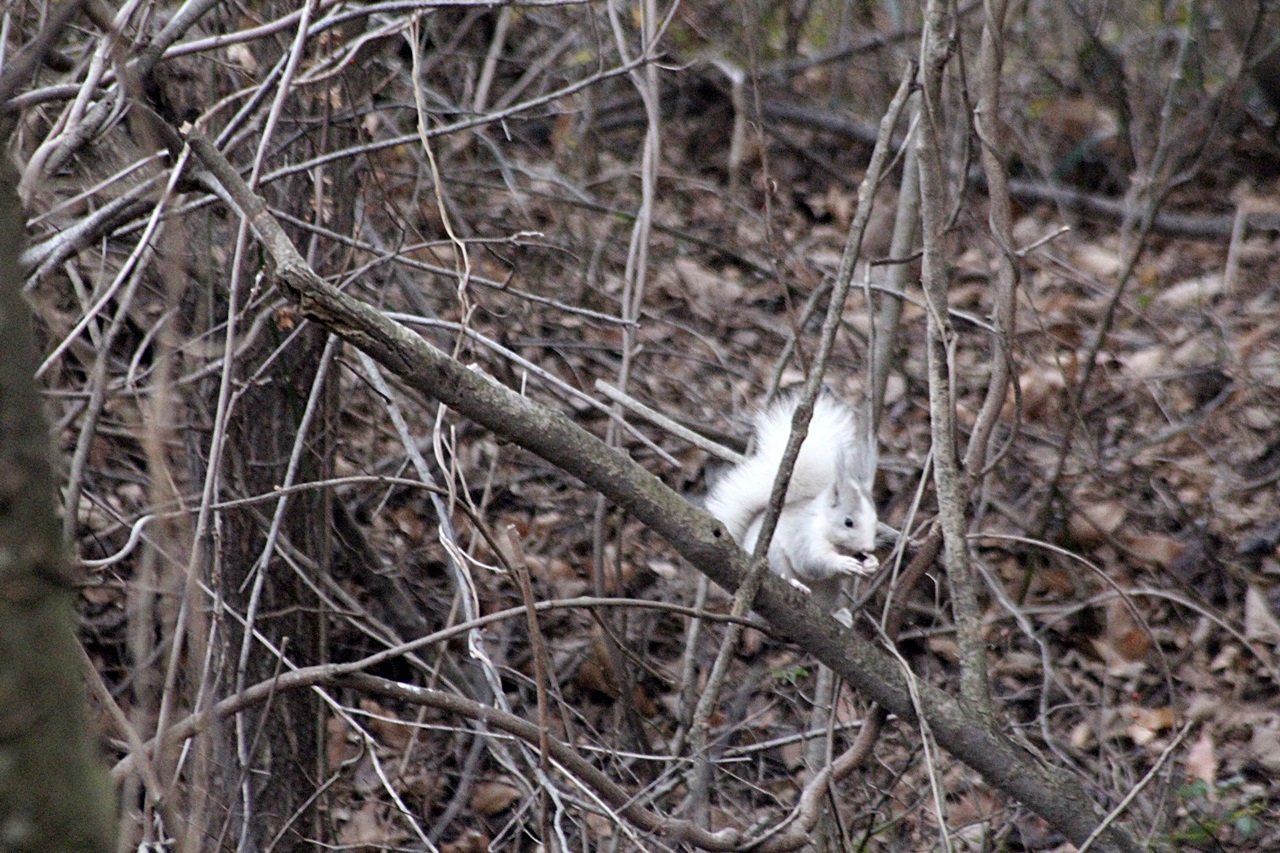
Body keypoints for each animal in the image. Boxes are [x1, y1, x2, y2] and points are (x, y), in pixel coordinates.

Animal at [706, 389, 875, 594]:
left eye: (876, 520)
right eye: (848, 522)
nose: (869, 547)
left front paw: (872, 563)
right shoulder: (804, 536)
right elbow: (812, 563)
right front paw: (842, 563)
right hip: (774, 556)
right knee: (782, 573)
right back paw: (795, 583)